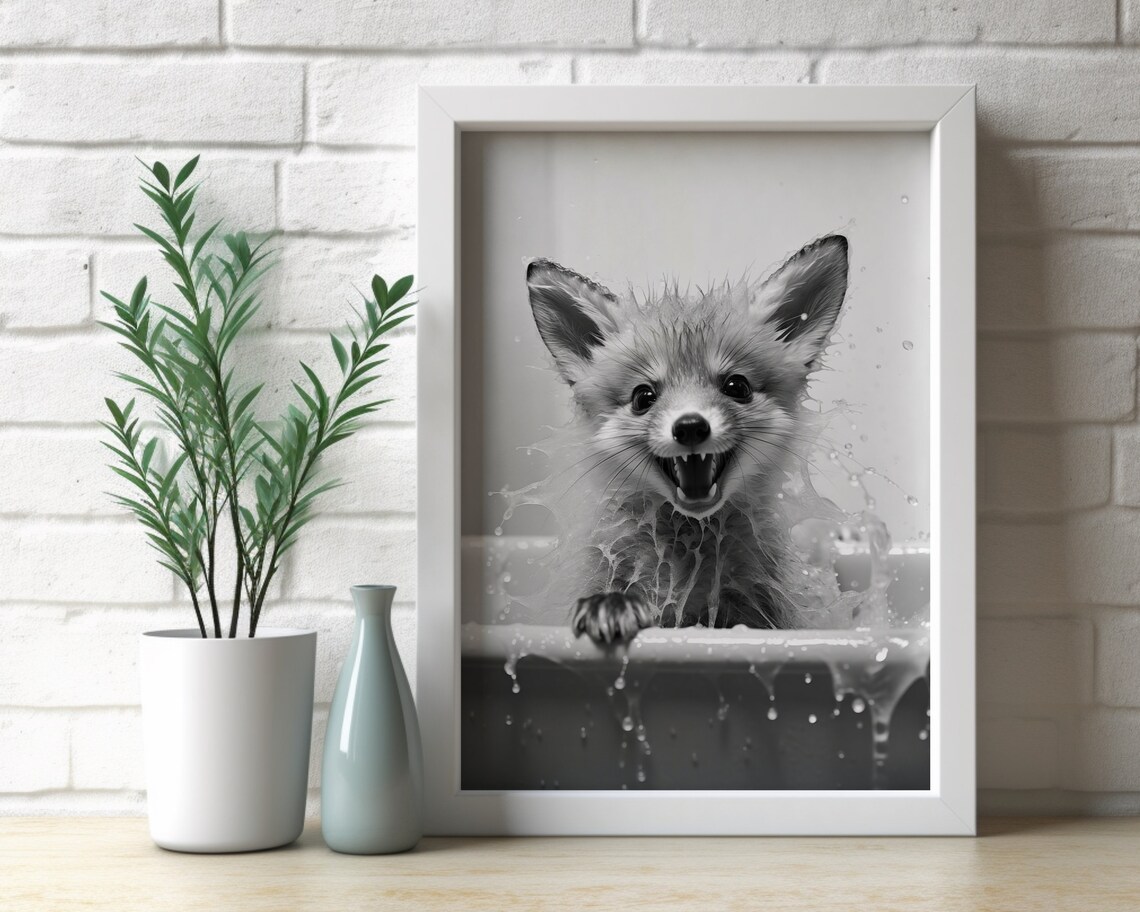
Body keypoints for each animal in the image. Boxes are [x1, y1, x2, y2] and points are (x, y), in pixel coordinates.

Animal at [524, 234, 850, 645]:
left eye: (736, 386)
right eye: (643, 397)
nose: (691, 426)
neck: (689, 554)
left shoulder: (763, 613)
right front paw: (610, 607)